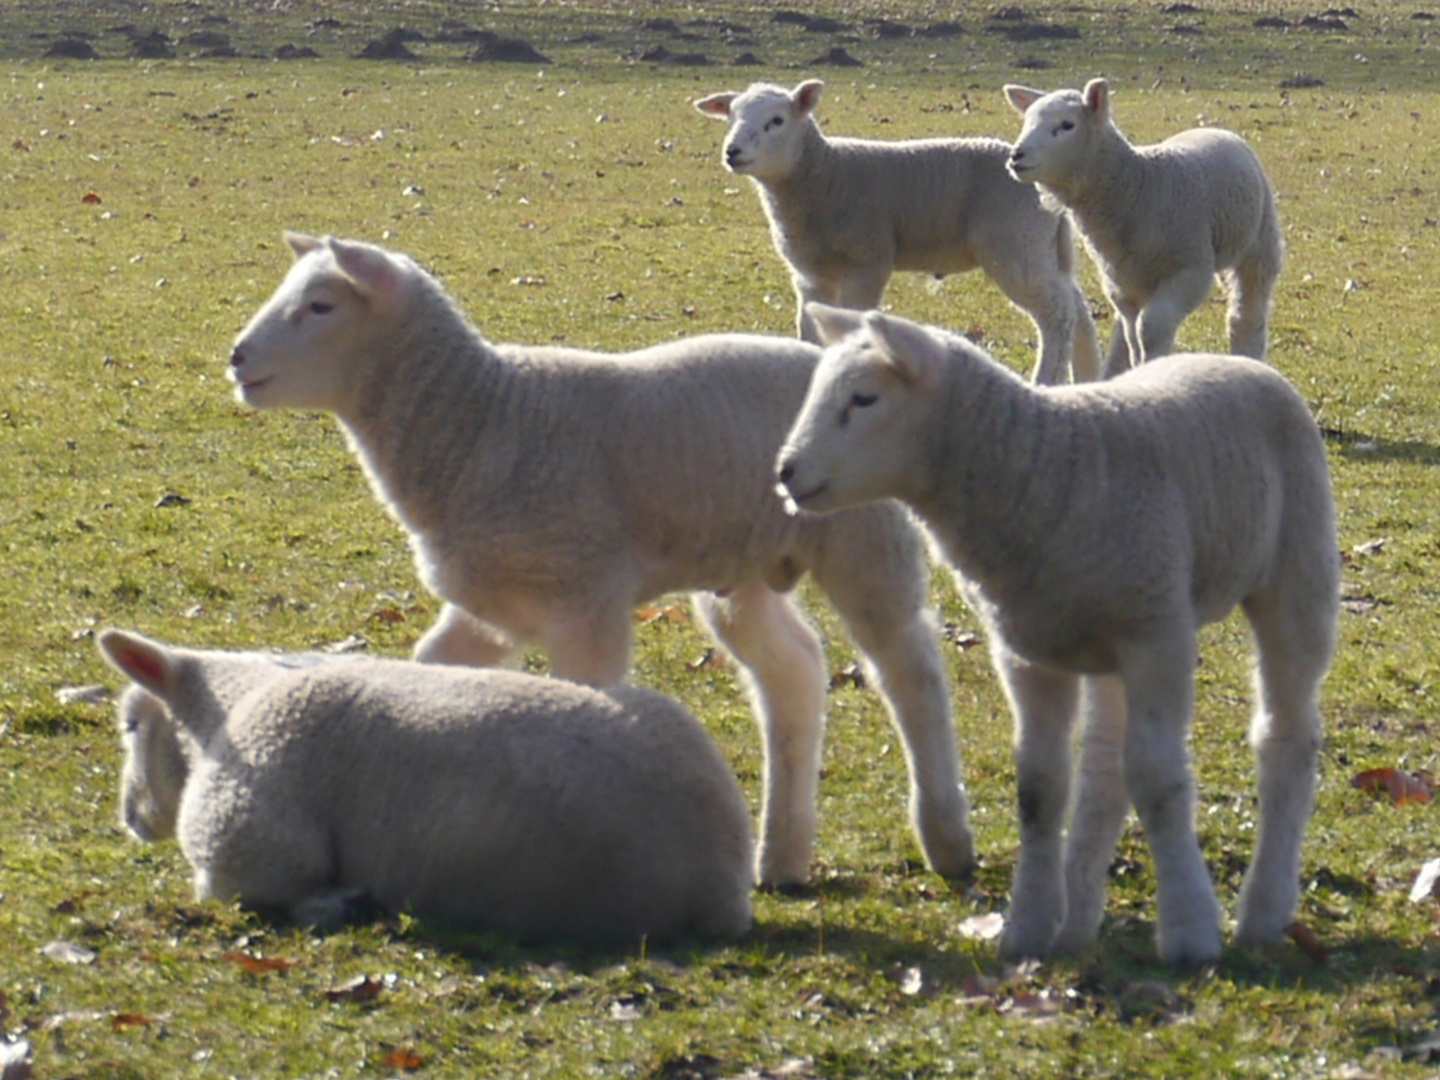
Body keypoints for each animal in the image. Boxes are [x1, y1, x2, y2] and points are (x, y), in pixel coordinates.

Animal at [100, 630, 754, 944]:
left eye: (131, 723)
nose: (129, 817)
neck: (226, 715)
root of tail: (723, 879)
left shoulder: (251, 853)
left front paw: (340, 903)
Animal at [227, 233, 979, 892]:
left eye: (321, 305)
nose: (236, 358)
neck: (481, 419)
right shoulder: (496, 605)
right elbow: (434, 673)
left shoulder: (583, 599)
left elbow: (589, 706)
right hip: (741, 565)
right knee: (794, 670)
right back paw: (783, 859)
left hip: (864, 536)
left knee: (909, 668)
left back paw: (945, 838)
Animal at [696, 79, 1100, 385]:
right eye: (731, 117)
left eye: (776, 121)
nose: (732, 151)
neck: (823, 175)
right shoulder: (809, 274)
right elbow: (810, 329)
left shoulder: (868, 263)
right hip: (1042, 245)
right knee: (1077, 308)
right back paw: (1086, 378)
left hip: (1015, 243)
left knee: (1057, 314)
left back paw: (1046, 380)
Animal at [777, 302, 1336, 961]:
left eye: (864, 398)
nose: (785, 472)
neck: (1038, 469)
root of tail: (1241, 363)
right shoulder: (1028, 649)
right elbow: (1040, 790)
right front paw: (1028, 926)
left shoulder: (1159, 636)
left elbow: (1159, 779)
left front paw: (1190, 931)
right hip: (1105, 634)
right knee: (1104, 770)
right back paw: (1077, 920)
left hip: (1295, 571)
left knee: (1286, 738)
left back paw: (1264, 910)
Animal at [1002, 79, 1284, 377]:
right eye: (1027, 121)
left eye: (1067, 125)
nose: (1016, 156)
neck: (1138, 188)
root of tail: (1213, 127)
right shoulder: (1120, 285)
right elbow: (1133, 338)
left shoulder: (1191, 269)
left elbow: (1150, 329)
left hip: (1259, 243)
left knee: (1247, 313)